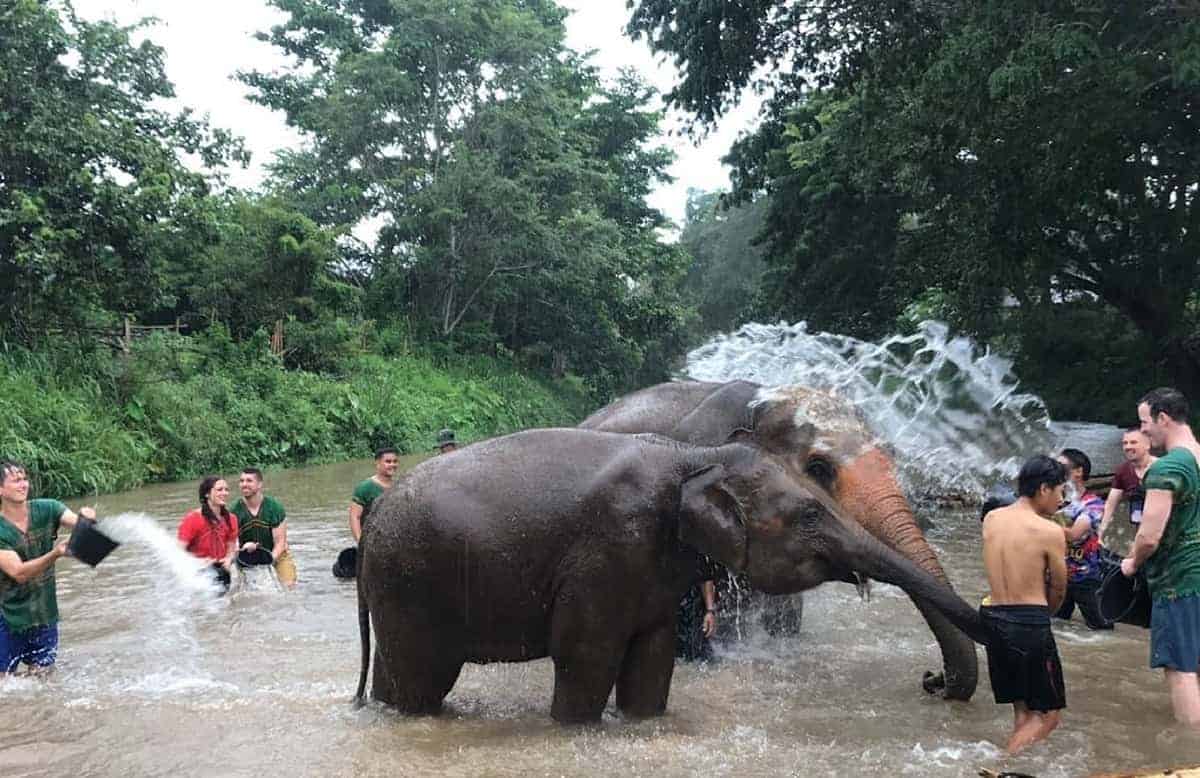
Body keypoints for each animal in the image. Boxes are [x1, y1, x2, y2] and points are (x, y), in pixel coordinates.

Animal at [355, 425, 993, 725]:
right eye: (811, 513)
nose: (931, 678)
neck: (695, 455)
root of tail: (375, 516)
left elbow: (653, 655)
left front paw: (641, 721)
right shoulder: (610, 544)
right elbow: (586, 652)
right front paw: (576, 729)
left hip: (398, 587)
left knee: (394, 676)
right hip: (411, 582)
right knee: (424, 680)